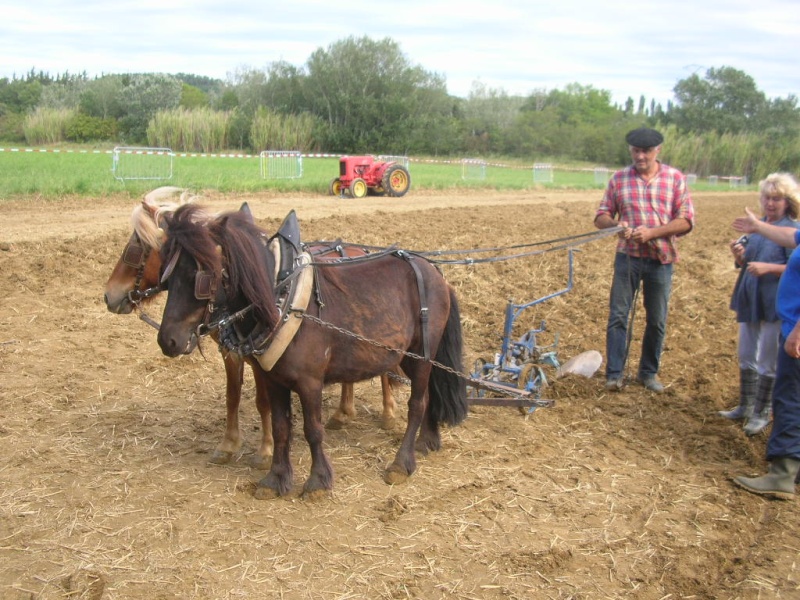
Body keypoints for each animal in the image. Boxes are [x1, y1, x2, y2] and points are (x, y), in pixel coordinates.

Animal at [103, 188, 396, 468]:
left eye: (137, 246)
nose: (109, 295)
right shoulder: (230, 351)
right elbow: (232, 395)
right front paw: (228, 445)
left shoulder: (261, 357)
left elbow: (262, 402)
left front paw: (265, 451)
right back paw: (343, 413)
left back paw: (388, 414)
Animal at [156, 205, 468, 496]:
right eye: (166, 278)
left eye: (199, 275)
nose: (167, 340)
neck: (281, 300)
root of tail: (436, 273)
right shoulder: (274, 379)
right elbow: (281, 427)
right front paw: (275, 479)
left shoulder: (310, 382)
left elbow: (313, 430)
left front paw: (318, 482)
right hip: (412, 357)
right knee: (429, 395)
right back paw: (426, 440)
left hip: (421, 356)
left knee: (417, 404)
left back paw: (401, 463)